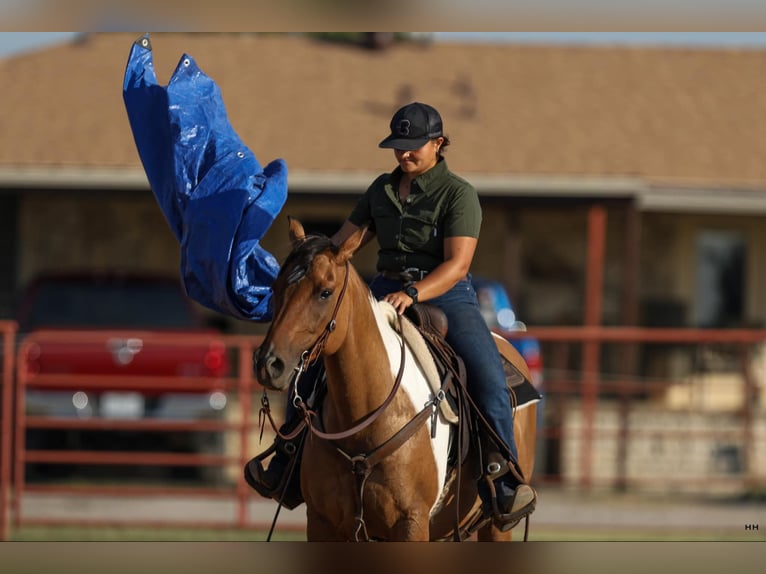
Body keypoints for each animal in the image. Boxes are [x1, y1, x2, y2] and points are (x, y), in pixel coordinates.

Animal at [254, 217, 537, 541]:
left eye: (325, 292)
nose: (268, 364)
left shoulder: (411, 523)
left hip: (493, 525)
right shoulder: (321, 522)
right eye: (274, 287)